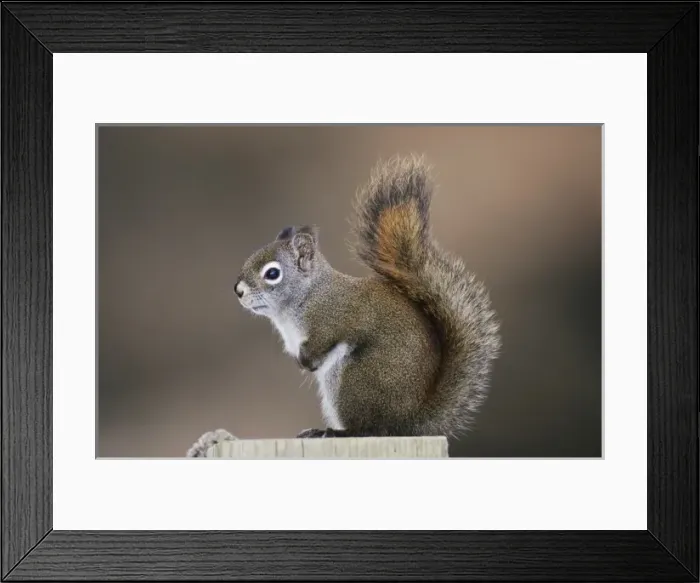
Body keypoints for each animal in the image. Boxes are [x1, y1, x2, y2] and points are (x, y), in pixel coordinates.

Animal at [234, 154, 501, 440]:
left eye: (272, 273)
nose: (238, 290)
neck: (307, 296)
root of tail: (407, 423)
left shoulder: (331, 319)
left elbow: (323, 341)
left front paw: (306, 361)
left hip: (354, 379)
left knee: (367, 428)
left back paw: (335, 432)